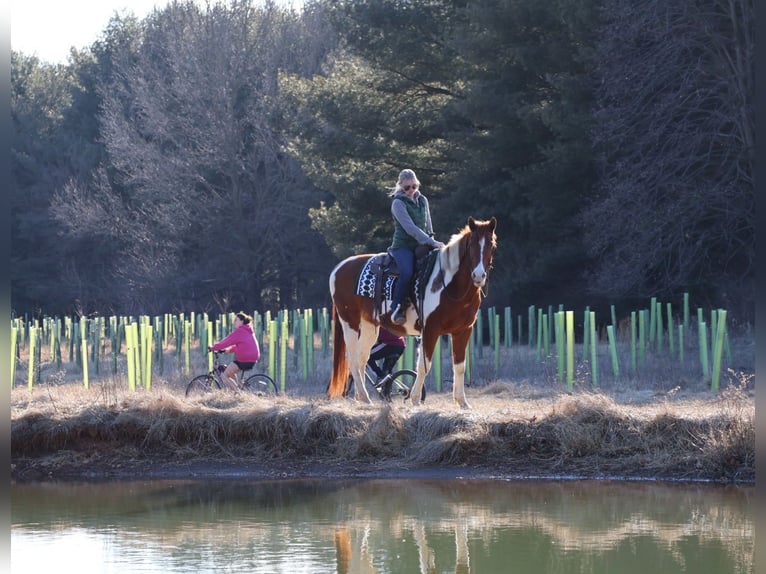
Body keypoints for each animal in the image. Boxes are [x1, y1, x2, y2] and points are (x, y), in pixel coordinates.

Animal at [328, 216, 498, 410]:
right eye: (471, 245)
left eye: (492, 245)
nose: (478, 276)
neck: (449, 284)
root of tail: (338, 268)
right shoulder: (430, 329)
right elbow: (424, 365)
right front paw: (415, 398)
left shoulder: (463, 331)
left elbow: (460, 366)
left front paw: (462, 402)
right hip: (350, 322)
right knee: (353, 357)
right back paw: (365, 396)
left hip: (369, 326)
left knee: (363, 357)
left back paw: (361, 398)